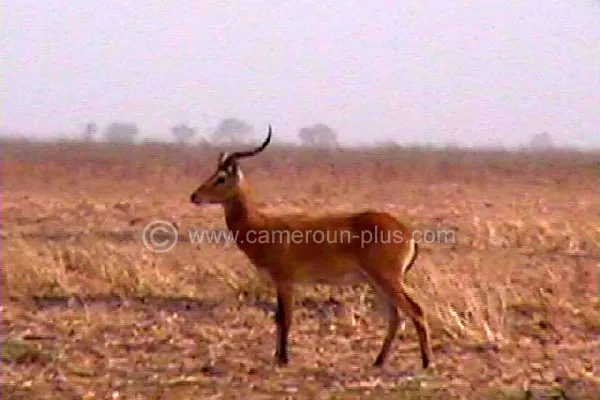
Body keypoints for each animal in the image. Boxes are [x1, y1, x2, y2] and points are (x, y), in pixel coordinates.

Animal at [191, 125, 432, 368]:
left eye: (221, 178)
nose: (195, 196)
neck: (262, 226)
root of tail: (406, 233)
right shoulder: (281, 282)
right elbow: (278, 317)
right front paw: (278, 357)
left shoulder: (285, 281)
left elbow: (285, 317)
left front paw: (284, 359)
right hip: (375, 282)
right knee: (395, 316)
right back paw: (379, 361)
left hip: (387, 279)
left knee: (416, 310)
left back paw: (426, 362)